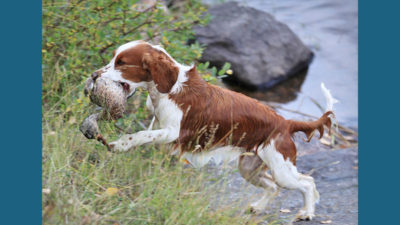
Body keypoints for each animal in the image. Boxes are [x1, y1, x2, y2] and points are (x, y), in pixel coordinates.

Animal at [86, 40, 338, 220]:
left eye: (121, 63)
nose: (94, 75)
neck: (170, 88)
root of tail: (286, 123)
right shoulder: (158, 124)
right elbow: (146, 135)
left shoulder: (173, 132)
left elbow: (139, 135)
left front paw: (120, 144)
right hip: (250, 168)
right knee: (273, 187)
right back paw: (258, 207)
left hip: (281, 168)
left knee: (307, 183)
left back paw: (307, 212)